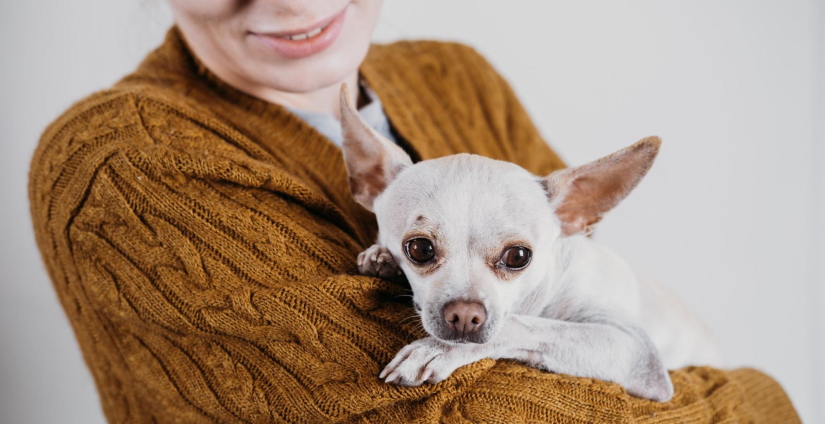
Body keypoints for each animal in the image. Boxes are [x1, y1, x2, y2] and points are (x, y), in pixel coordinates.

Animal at [338, 85, 716, 400]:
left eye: (518, 256)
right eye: (419, 249)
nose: (465, 315)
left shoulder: (634, 350)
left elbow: (523, 326)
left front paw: (437, 350)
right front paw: (381, 258)